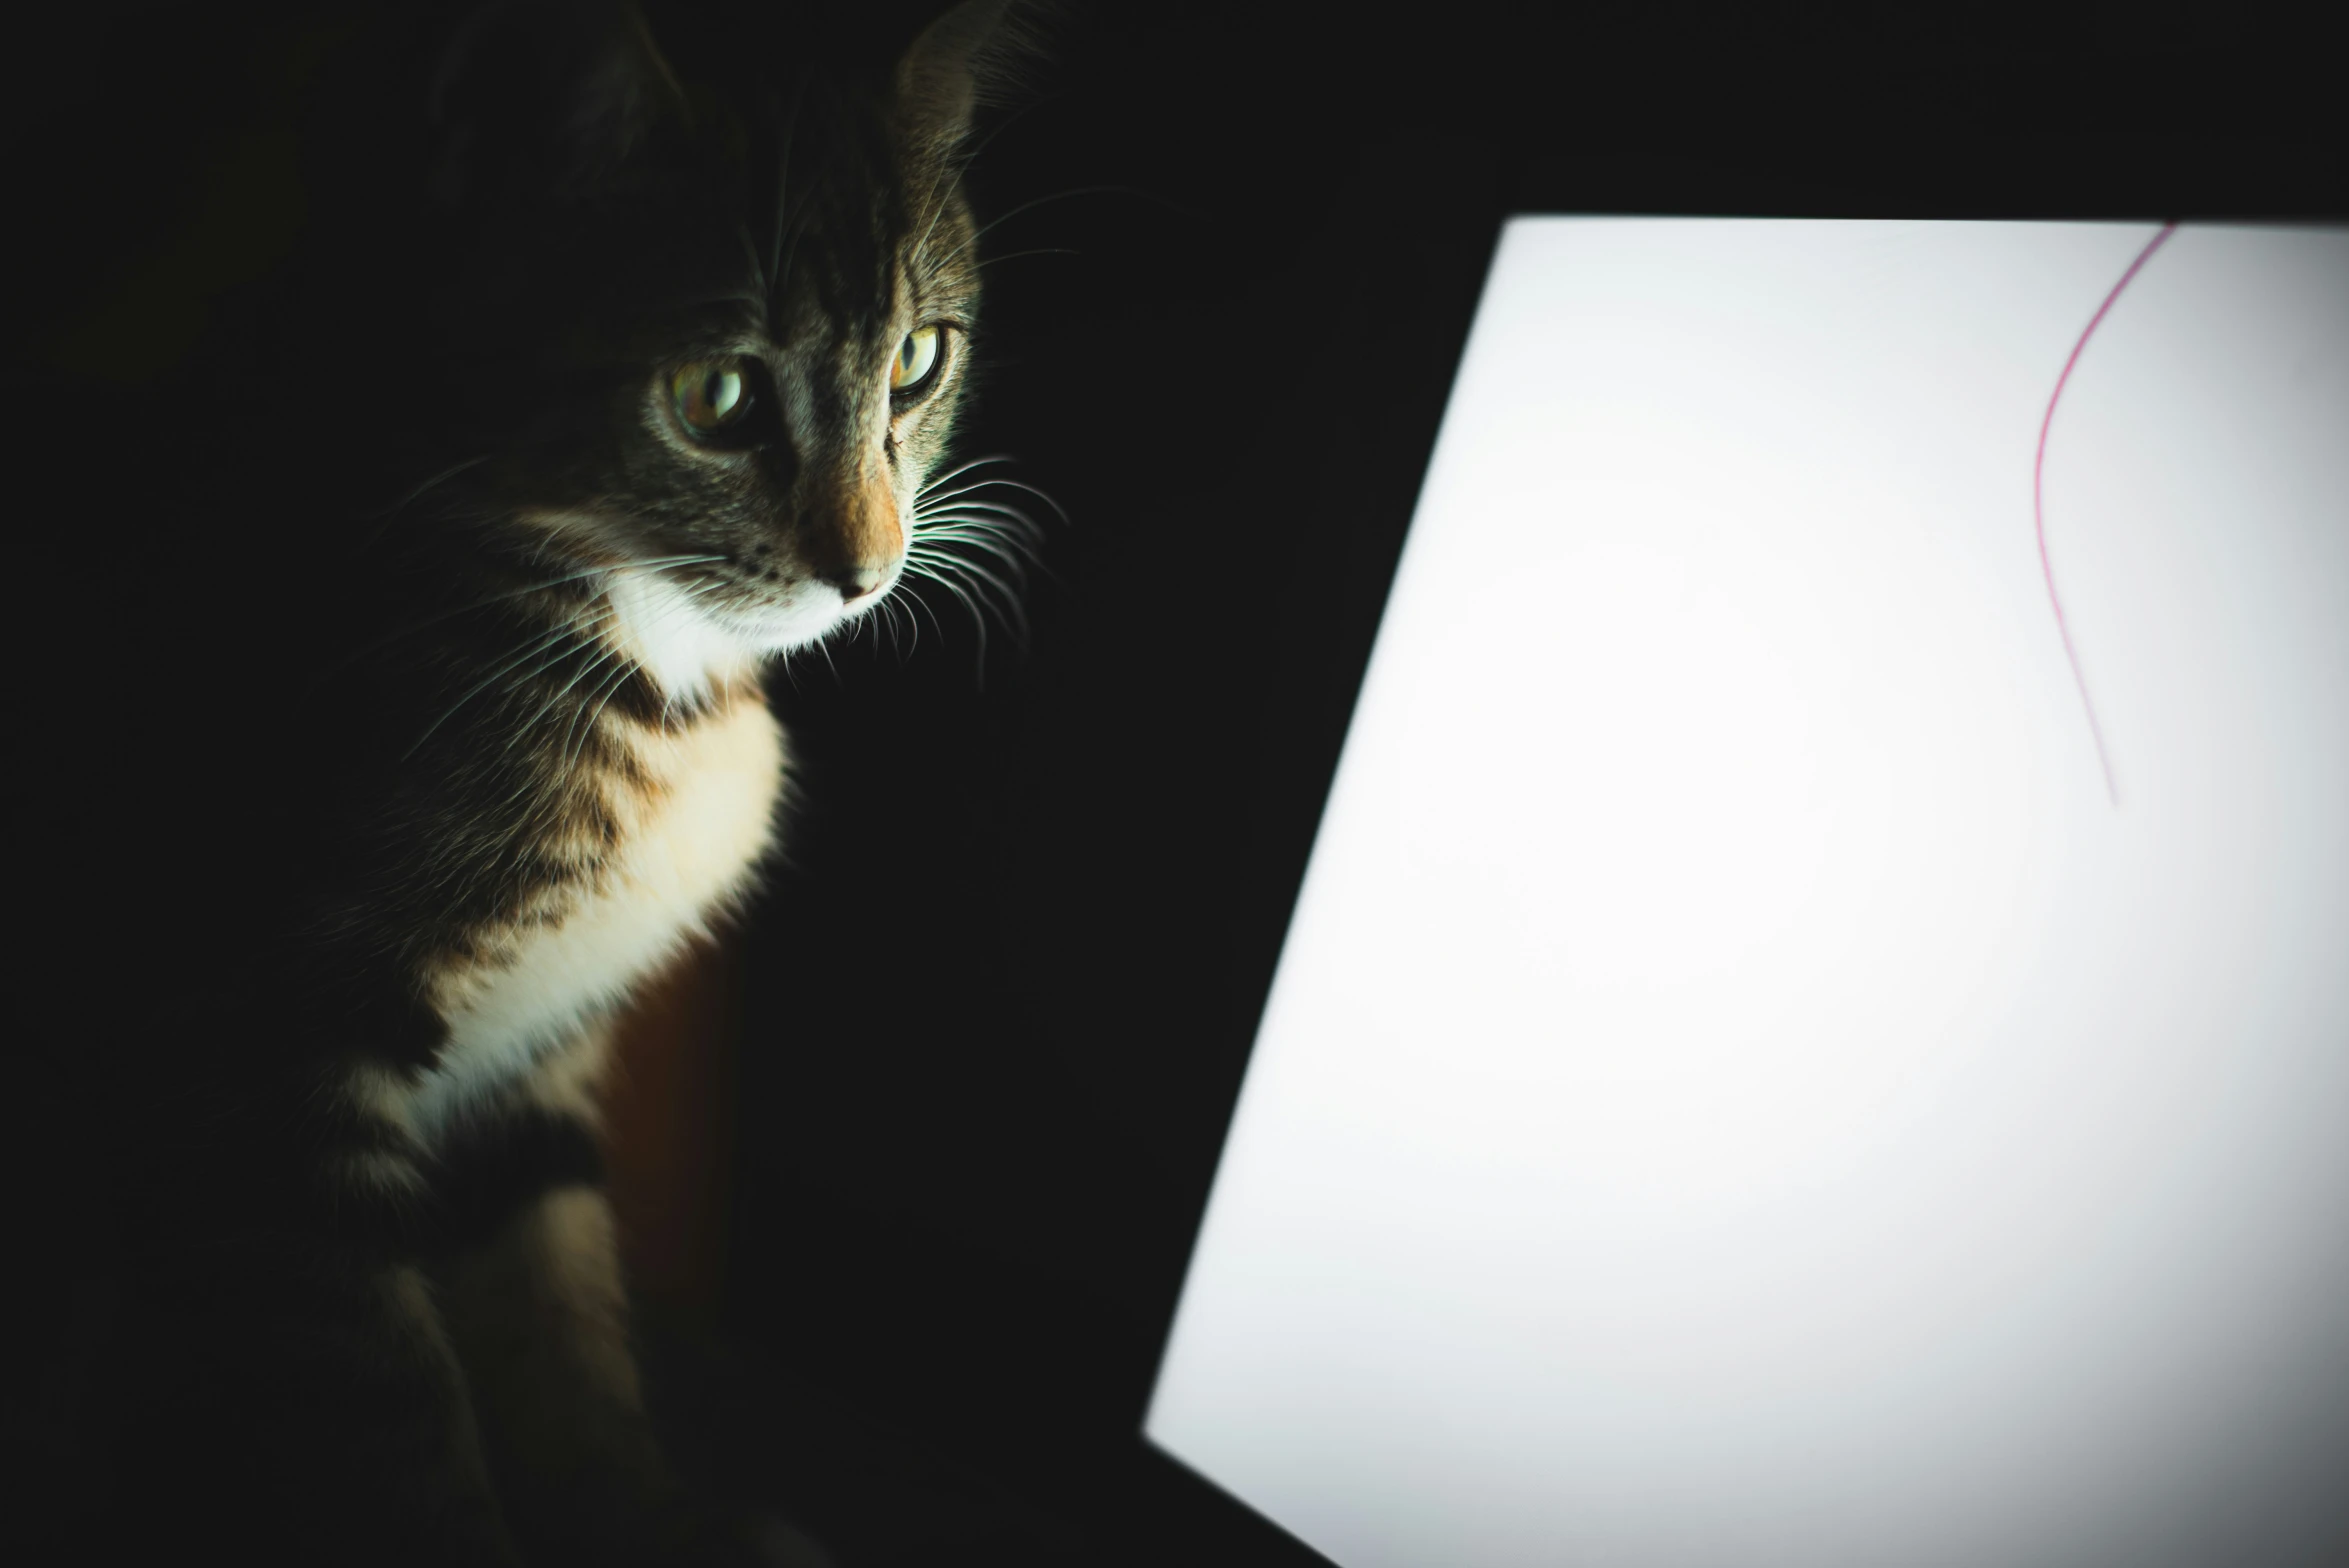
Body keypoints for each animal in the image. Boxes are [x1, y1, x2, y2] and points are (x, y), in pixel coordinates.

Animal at [25, 3, 1047, 1568]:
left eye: (921, 359)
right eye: (718, 396)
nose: (865, 567)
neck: (649, 667)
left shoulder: (531, 1066)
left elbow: (557, 1305)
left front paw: (649, 1511)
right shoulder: (246, 1057)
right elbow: (385, 1407)